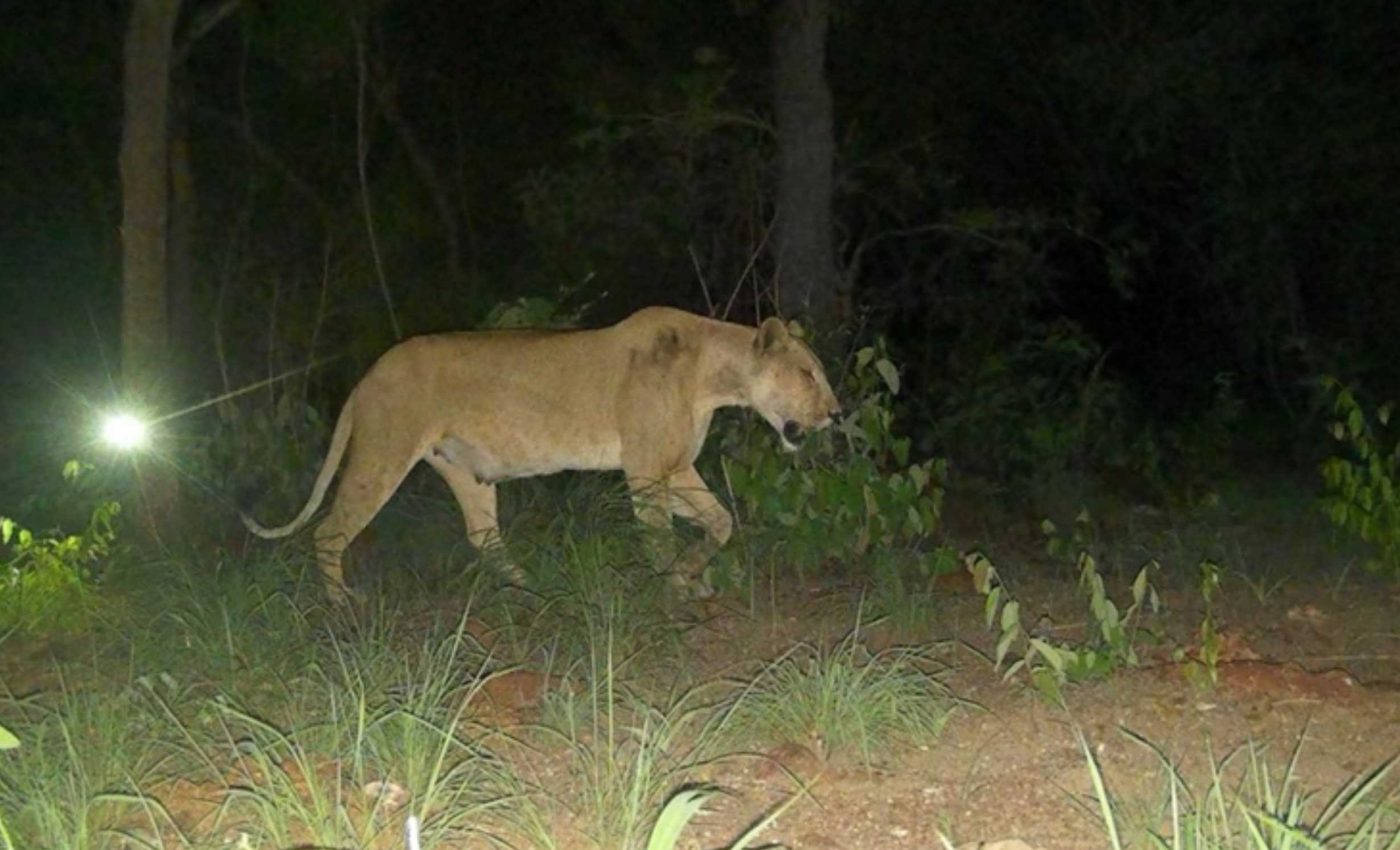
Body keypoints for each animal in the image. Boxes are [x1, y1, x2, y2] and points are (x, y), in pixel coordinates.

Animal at [241, 306, 841, 601]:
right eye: (808, 374)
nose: (836, 414)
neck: (716, 378)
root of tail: (368, 375)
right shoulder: (646, 471)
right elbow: (659, 537)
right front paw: (676, 588)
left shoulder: (675, 467)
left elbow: (720, 521)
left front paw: (696, 575)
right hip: (382, 454)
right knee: (329, 532)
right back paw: (342, 605)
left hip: (465, 473)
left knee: (483, 538)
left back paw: (536, 590)